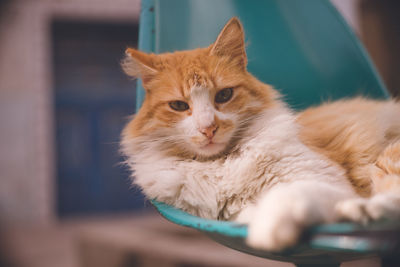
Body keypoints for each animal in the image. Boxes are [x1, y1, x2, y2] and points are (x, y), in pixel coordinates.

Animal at [120, 17, 400, 252]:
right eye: (179, 105)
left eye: (224, 95)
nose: (208, 128)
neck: (220, 165)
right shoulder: (230, 213)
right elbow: (249, 213)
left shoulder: (327, 181)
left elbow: (283, 196)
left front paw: (269, 230)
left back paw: (358, 211)